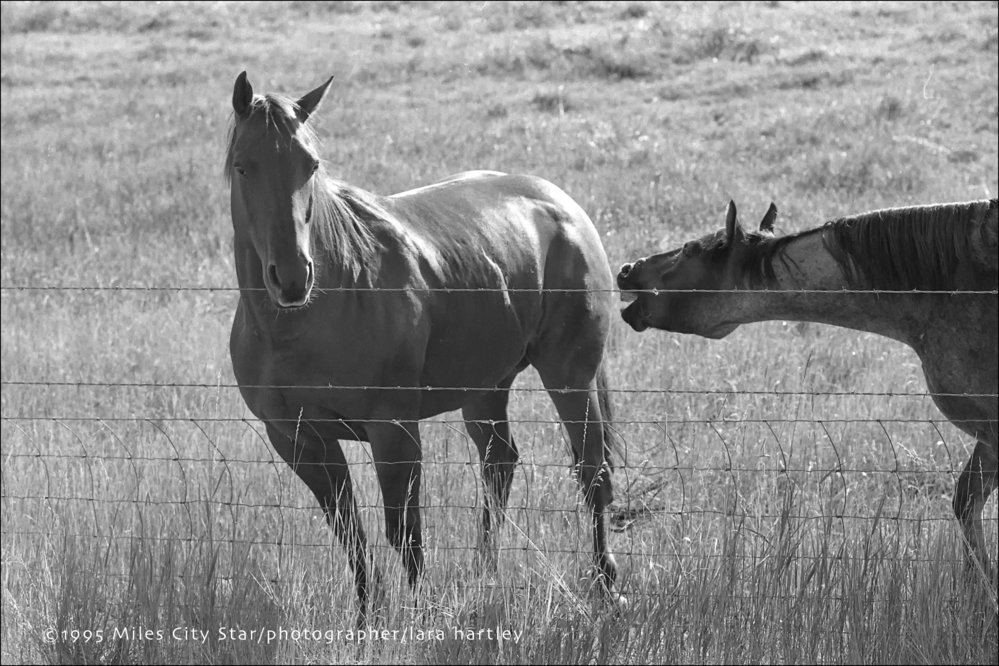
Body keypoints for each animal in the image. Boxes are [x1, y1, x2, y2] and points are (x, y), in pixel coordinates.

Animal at [225, 72, 624, 624]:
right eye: (244, 166)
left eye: (311, 165)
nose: (292, 277)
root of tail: (562, 206)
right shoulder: (299, 441)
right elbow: (352, 535)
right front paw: (366, 620)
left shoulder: (394, 431)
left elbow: (405, 535)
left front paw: (416, 618)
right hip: (485, 386)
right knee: (499, 464)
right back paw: (482, 578)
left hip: (571, 376)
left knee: (592, 474)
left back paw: (607, 587)